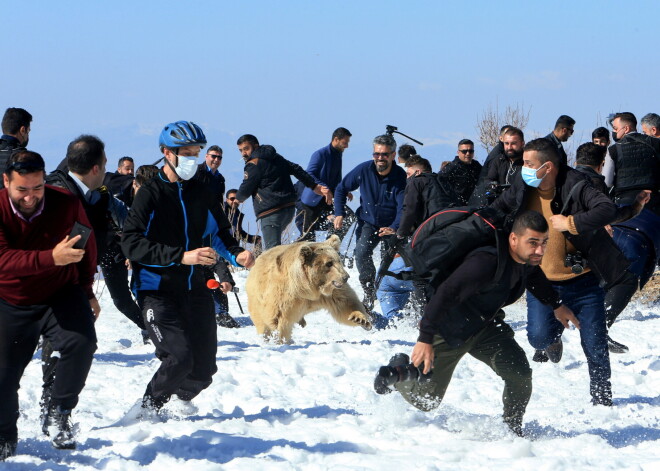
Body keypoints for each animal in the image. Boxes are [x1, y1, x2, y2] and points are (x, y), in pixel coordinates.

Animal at [246, 235, 374, 342]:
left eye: (338, 260)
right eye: (329, 263)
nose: (345, 277)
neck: (309, 289)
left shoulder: (331, 293)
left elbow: (346, 303)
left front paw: (360, 319)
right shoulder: (285, 295)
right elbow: (278, 319)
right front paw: (281, 339)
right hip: (255, 299)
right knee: (262, 323)